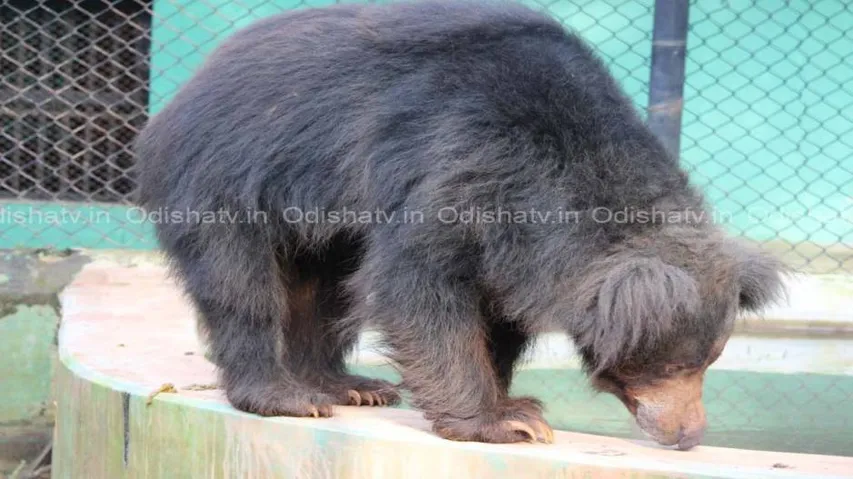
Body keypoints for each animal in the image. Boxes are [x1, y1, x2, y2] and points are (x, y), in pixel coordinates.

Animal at [134, 0, 785, 450]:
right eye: (673, 366)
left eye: (710, 362)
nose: (689, 435)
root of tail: (181, 95)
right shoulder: (457, 161)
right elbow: (416, 286)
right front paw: (511, 424)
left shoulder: (515, 239)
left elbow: (495, 310)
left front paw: (509, 401)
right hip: (228, 176)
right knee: (240, 287)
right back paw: (288, 397)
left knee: (326, 291)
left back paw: (349, 386)